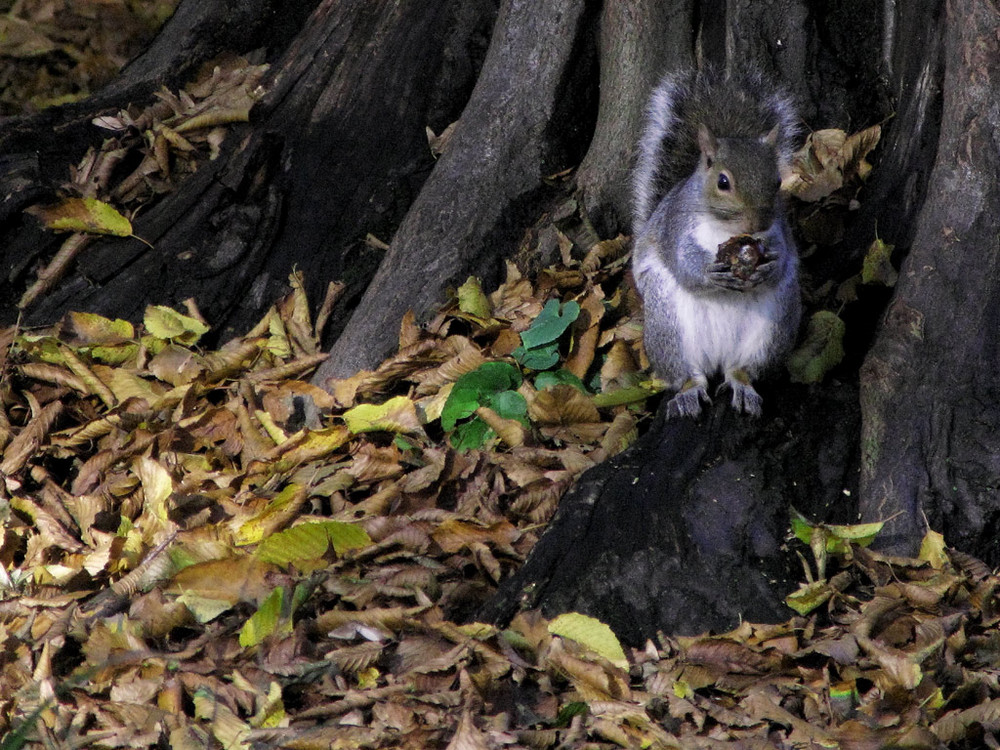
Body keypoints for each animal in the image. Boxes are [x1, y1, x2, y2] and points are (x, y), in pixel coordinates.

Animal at [632, 67, 804, 420]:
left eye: (777, 181)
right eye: (723, 182)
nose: (757, 225)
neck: (726, 228)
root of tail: (718, 357)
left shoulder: (779, 232)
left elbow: (783, 258)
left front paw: (769, 268)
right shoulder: (674, 228)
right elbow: (684, 264)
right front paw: (709, 275)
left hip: (774, 328)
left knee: (742, 369)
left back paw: (743, 387)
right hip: (668, 327)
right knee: (688, 374)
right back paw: (689, 391)